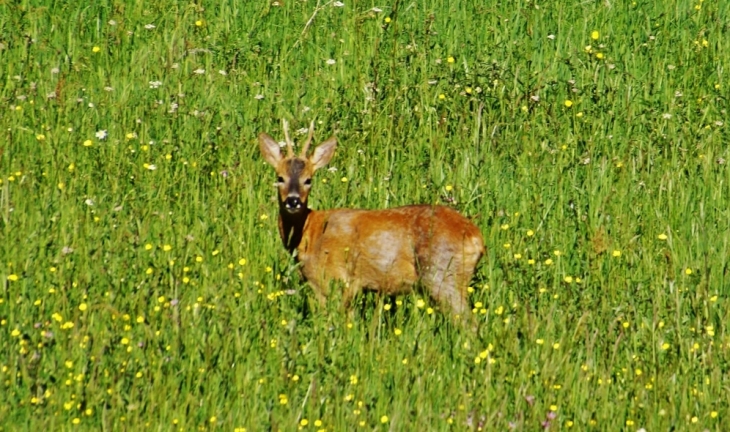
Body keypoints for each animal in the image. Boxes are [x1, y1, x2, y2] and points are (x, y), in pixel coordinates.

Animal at [258, 120, 484, 316]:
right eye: (280, 178)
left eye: (308, 180)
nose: (293, 201)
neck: (309, 234)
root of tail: (477, 239)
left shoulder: (333, 279)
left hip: (443, 275)